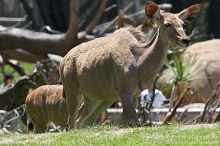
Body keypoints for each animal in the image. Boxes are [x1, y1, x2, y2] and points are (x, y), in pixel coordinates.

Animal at [59, 1, 200, 129]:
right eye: (167, 24)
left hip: (98, 99)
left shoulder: (134, 94)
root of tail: (63, 61)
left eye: (183, 24)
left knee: (83, 121)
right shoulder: (125, 92)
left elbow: (127, 122)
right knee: (72, 122)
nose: (186, 40)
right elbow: (134, 122)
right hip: (73, 92)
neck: (139, 62)